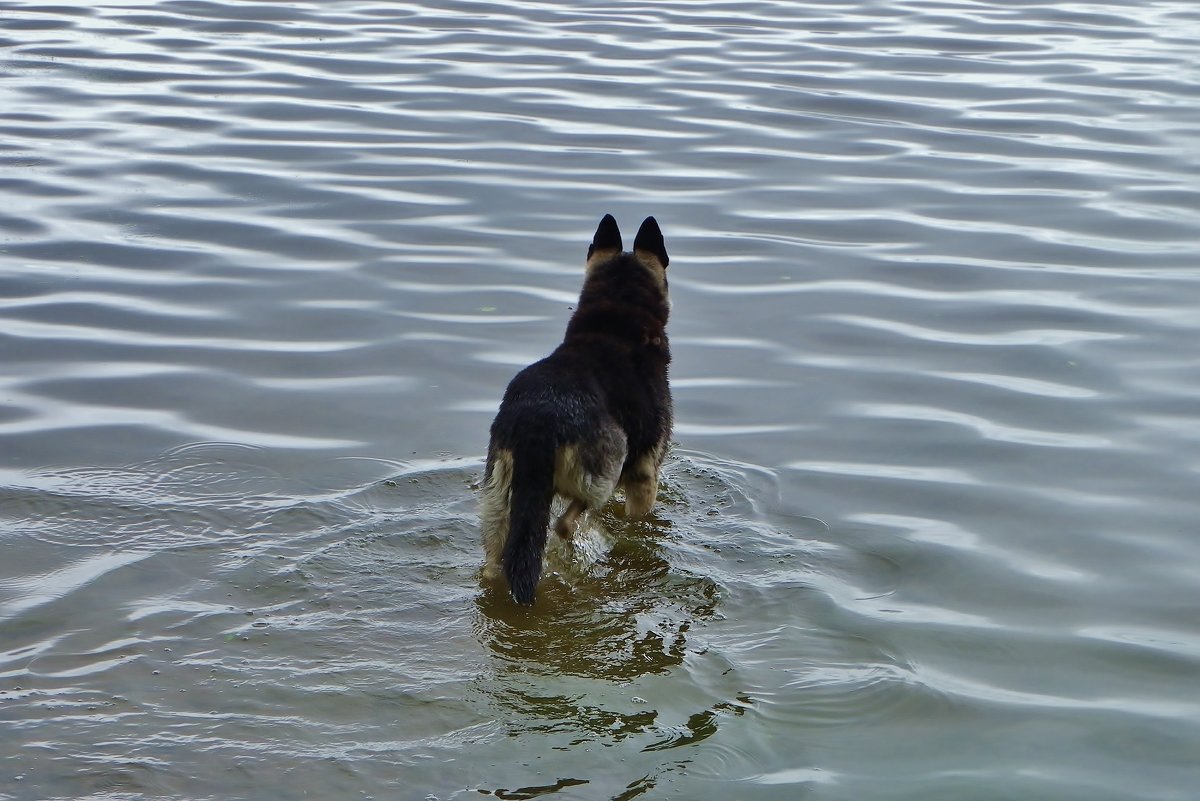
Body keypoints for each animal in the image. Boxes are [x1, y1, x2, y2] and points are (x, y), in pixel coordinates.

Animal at [480, 215, 676, 604]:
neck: (616, 324)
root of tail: (539, 420)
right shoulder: (645, 474)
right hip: (606, 468)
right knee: (565, 521)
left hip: (497, 496)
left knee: (499, 559)